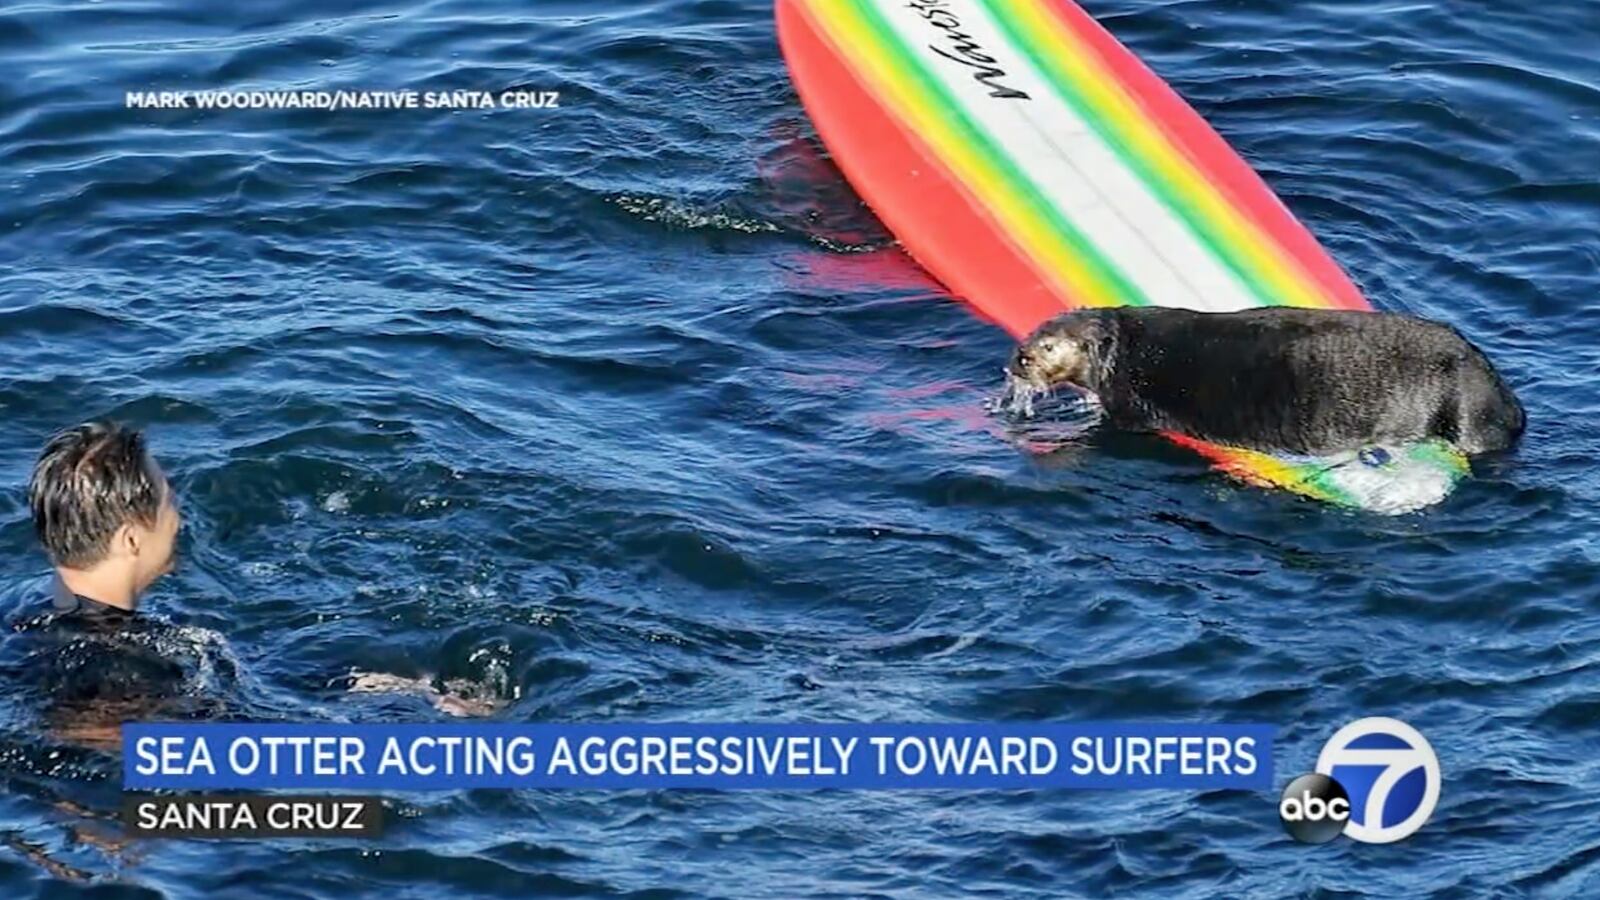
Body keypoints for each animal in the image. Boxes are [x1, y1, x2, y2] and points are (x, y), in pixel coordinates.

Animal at [1005, 307, 1524, 456]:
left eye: (1048, 346)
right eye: (1030, 335)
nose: (1020, 358)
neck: (1130, 349)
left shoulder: (1129, 403)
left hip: (1465, 408)